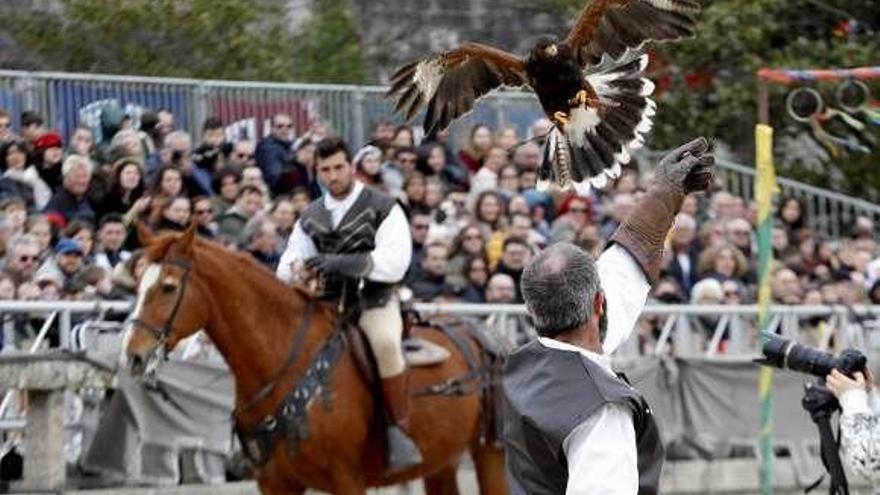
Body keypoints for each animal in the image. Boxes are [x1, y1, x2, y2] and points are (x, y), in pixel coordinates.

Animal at [124, 226, 508, 495]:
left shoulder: (346, 481)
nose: (133, 355)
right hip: (441, 463)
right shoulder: (276, 484)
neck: (284, 367)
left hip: (489, 456)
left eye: (169, 287)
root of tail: (484, 336)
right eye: (137, 284)